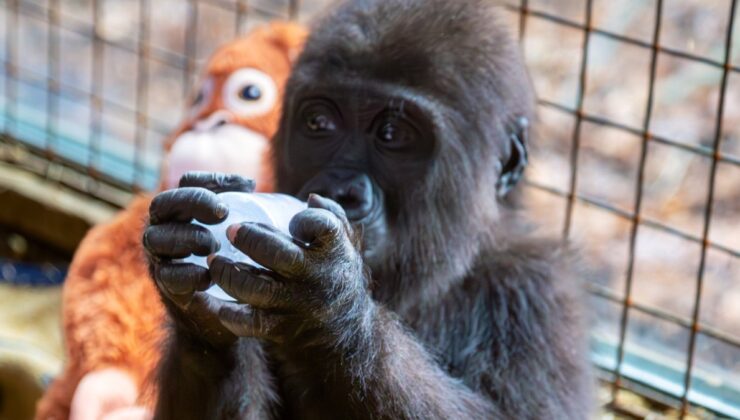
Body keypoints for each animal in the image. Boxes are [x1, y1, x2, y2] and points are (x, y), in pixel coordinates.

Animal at [146, 0, 596, 420]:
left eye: (392, 135)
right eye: (319, 123)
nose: (340, 190)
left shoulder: (537, 292)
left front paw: (330, 309)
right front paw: (195, 321)